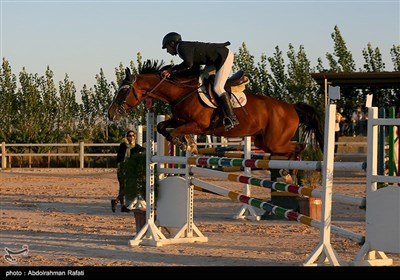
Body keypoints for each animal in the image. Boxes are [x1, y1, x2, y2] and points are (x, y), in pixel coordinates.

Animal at [107, 59, 324, 162]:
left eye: (123, 90)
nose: (110, 114)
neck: (183, 92)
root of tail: (291, 107)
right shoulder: (180, 120)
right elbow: (162, 127)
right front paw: (187, 144)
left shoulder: (198, 125)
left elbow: (175, 132)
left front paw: (188, 145)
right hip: (264, 141)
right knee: (291, 149)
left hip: (275, 141)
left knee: (299, 148)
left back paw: (290, 173)